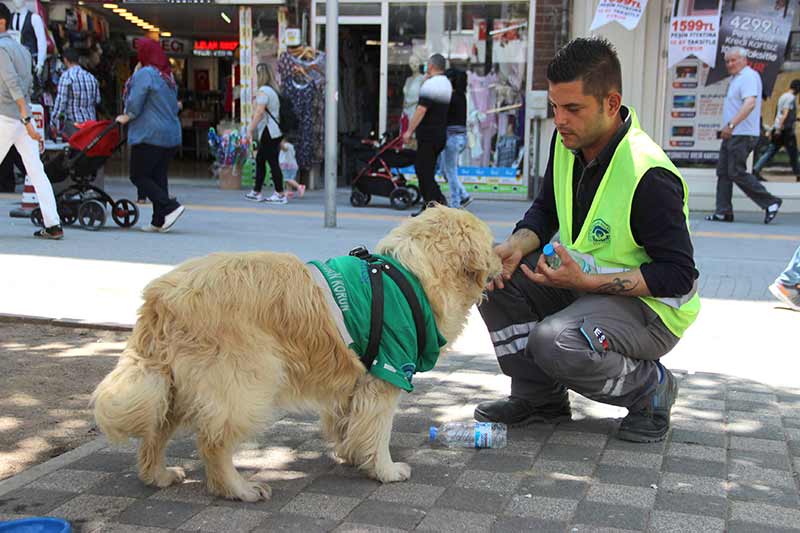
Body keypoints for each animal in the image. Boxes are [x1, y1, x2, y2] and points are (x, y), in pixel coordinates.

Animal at [90, 204, 496, 498]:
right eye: (491, 243)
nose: (501, 258)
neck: (412, 275)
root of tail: (161, 294)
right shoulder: (386, 372)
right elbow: (377, 432)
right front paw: (385, 470)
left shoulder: (356, 382)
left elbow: (350, 425)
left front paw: (353, 455)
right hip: (247, 382)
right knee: (213, 442)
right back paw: (238, 489)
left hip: (173, 384)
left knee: (155, 432)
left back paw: (158, 475)